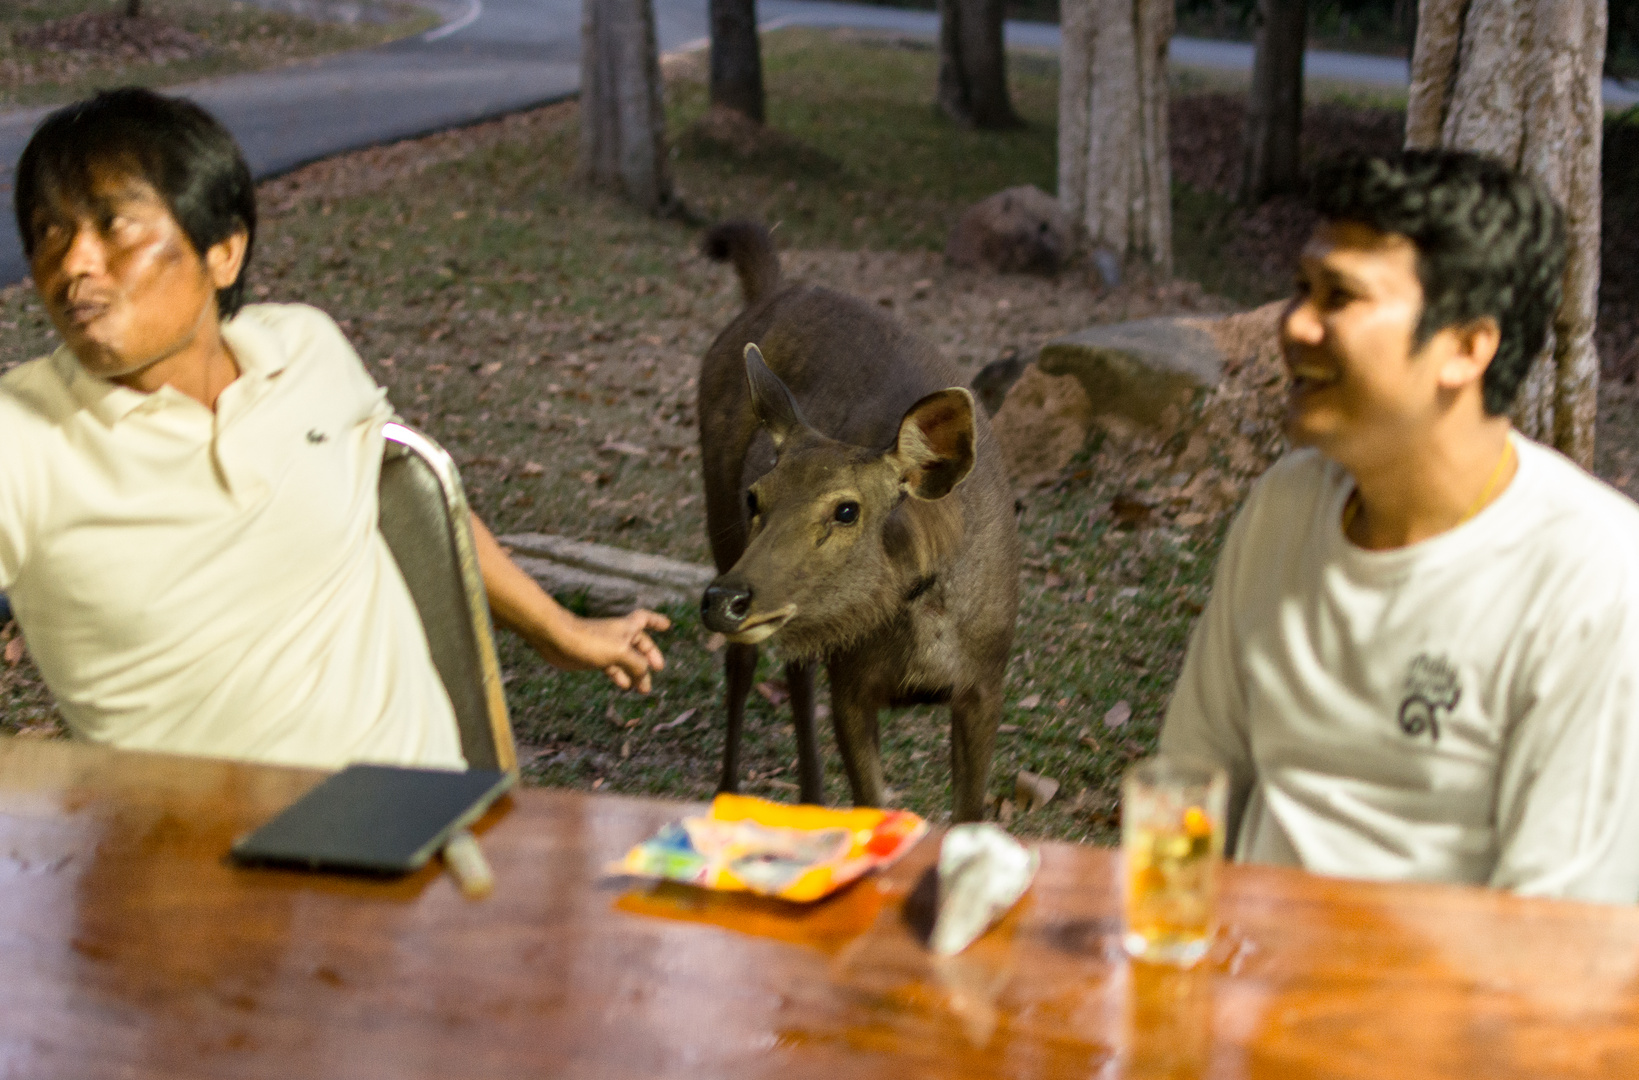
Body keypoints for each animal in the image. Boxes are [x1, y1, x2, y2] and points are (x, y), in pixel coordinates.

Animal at [694, 221, 1022, 829]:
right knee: (744, 662)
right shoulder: (850, 683)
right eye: (757, 497)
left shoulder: (987, 682)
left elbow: (969, 813)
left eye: (847, 509)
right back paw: (728, 796)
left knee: (791, 666)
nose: (724, 600)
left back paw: (810, 800)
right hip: (718, 517)